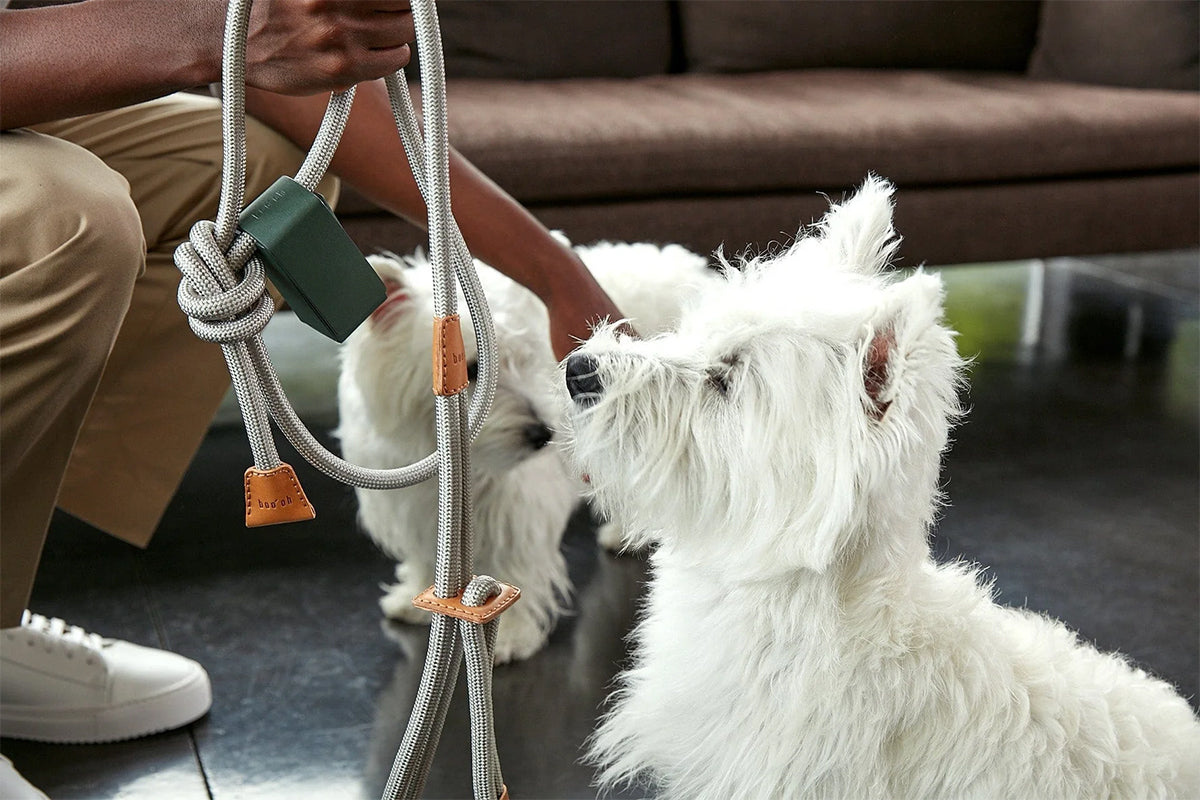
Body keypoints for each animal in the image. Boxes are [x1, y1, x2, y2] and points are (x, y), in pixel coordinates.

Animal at [333, 237, 715, 662]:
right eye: (470, 368)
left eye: (526, 358)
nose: (541, 435)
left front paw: (510, 636)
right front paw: (414, 599)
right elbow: (426, 552)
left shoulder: (518, 508)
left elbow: (514, 565)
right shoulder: (413, 505)